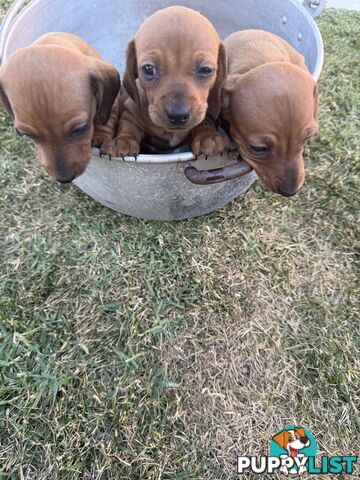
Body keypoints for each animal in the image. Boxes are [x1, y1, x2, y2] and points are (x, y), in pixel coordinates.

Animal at [0, 31, 121, 182]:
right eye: (28, 135)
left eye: (79, 129)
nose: (65, 179)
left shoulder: (112, 103)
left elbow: (106, 119)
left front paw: (101, 135)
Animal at [102, 6, 228, 158]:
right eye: (148, 69)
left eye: (205, 70)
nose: (178, 115)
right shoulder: (131, 111)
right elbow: (128, 125)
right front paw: (123, 141)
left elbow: (204, 120)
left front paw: (207, 136)